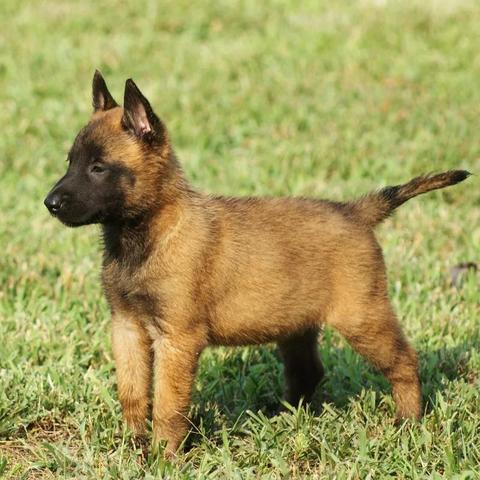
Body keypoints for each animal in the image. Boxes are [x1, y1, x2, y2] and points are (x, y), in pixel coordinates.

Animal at [44, 71, 470, 457]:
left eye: (98, 168)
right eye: (70, 161)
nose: (50, 203)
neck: (151, 233)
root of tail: (355, 211)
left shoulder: (177, 339)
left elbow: (167, 404)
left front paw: (164, 456)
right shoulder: (127, 327)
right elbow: (132, 392)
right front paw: (132, 445)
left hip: (362, 318)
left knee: (405, 362)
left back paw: (408, 421)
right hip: (297, 326)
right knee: (308, 374)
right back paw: (284, 418)